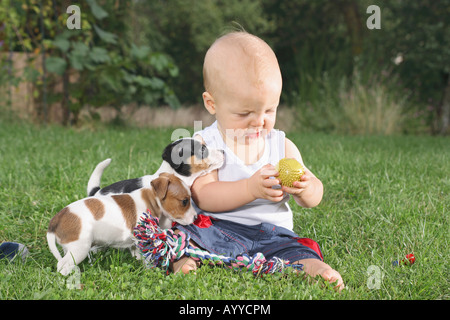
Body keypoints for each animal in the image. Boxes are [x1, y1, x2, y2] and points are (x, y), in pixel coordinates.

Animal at [46, 172, 194, 276]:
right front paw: (151, 269)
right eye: (185, 201)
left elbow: (137, 252)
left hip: (70, 248)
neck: (151, 198)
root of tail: (56, 219)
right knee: (62, 266)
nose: (195, 217)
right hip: (79, 249)